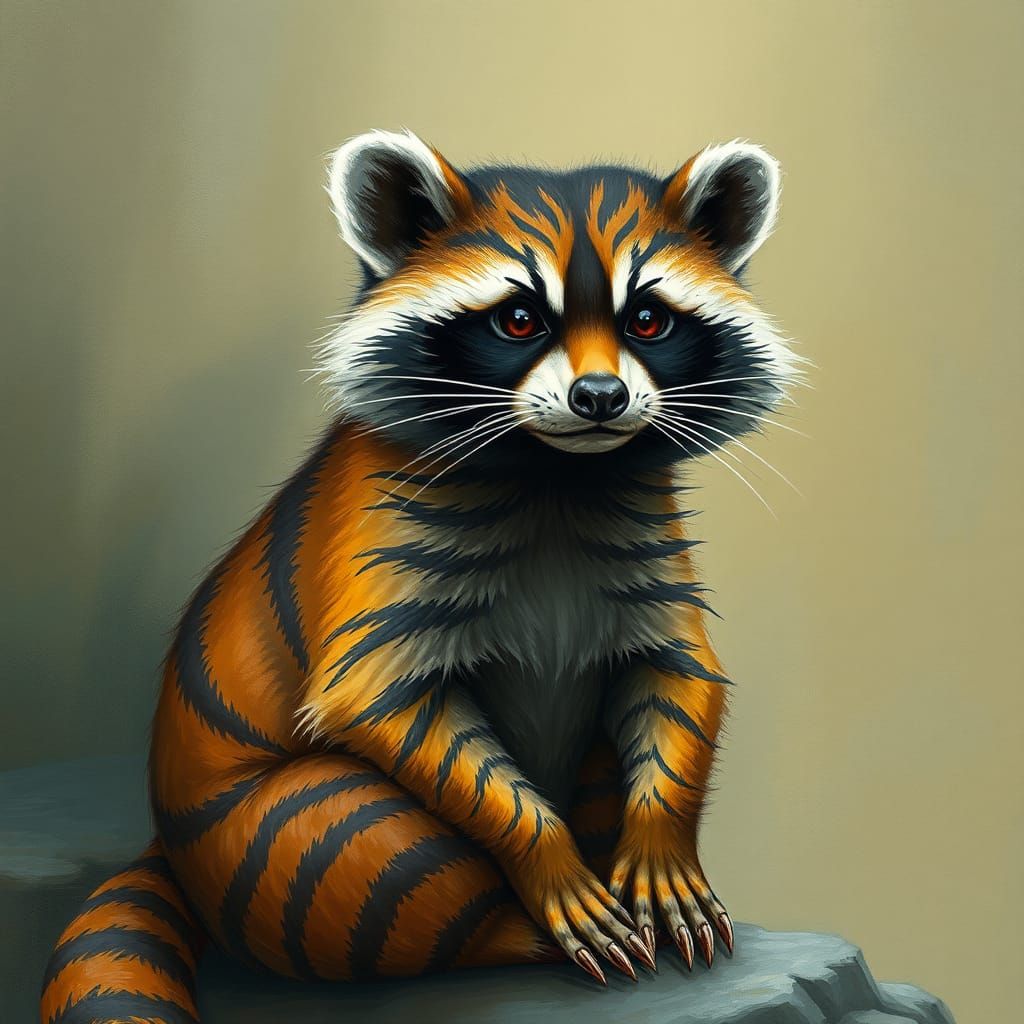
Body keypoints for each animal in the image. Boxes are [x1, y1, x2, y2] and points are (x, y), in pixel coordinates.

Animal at [40, 128, 800, 1024]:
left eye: (647, 319)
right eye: (519, 318)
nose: (600, 396)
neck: (560, 474)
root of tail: (165, 845)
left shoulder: (647, 555)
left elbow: (677, 680)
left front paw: (660, 844)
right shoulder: (380, 551)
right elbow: (381, 700)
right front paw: (547, 859)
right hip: (272, 848)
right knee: (367, 831)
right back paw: (514, 931)